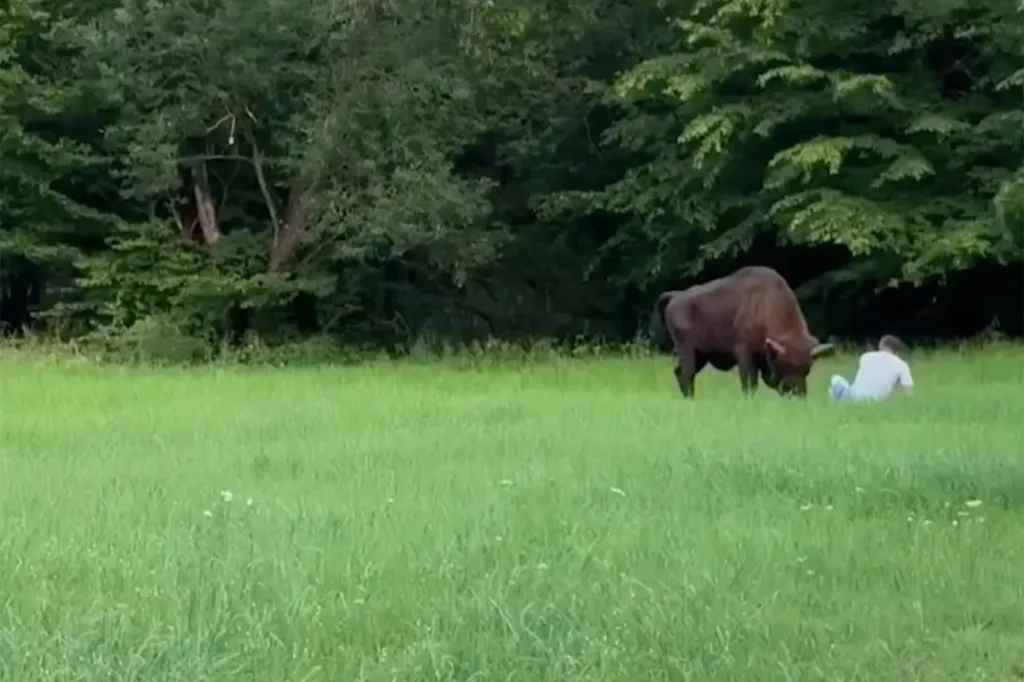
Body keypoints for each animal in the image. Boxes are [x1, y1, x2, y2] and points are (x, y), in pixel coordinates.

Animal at [649, 266, 834, 398]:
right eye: (786, 364)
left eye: (807, 369)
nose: (797, 393)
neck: (766, 303)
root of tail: (675, 297)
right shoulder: (744, 354)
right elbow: (749, 383)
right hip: (687, 351)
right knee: (686, 374)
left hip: (701, 356)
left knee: (680, 373)